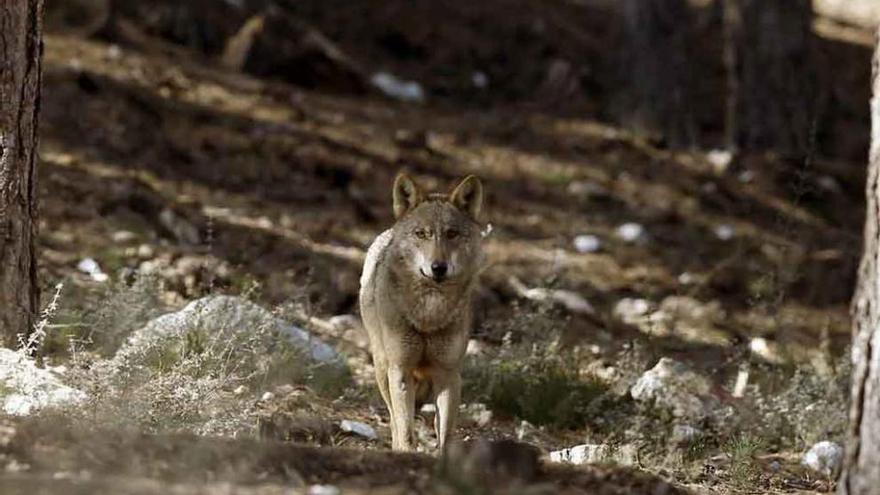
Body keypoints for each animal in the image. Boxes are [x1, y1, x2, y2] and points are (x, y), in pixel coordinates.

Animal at [360, 172, 488, 452]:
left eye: (451, 233)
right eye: (421, 234)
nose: (438, 267)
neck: (429, 315)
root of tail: (387, 232)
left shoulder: (448, 375)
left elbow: (445, 437)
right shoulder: (401, 370)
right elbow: (406, 432)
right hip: (383, 369)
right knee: (394, 421)